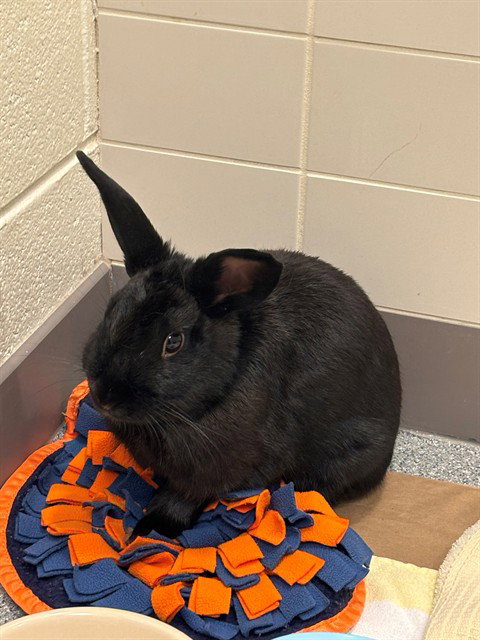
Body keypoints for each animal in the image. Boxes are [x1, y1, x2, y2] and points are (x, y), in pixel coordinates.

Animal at [77, 151, 401, 539]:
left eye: (173, 341)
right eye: (112, 309)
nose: (105, 397)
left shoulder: (215, 470)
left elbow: (184, 496)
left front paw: (149, 528)